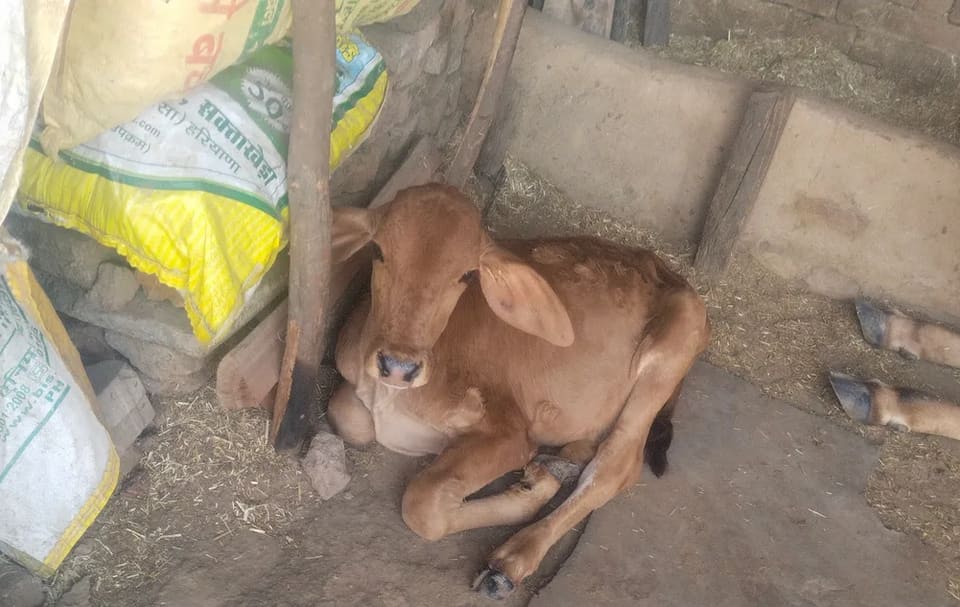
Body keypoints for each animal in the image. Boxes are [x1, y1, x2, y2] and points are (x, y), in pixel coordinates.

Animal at [327, 183, 710, 600]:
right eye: (378, 251)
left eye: (467, 275)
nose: (399, 366)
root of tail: (663, 267)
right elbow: (347, 417)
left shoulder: (508, 432)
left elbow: (423, 505)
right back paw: (556, 466)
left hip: (668, 354)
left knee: (616, 465)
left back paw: (513, 559)